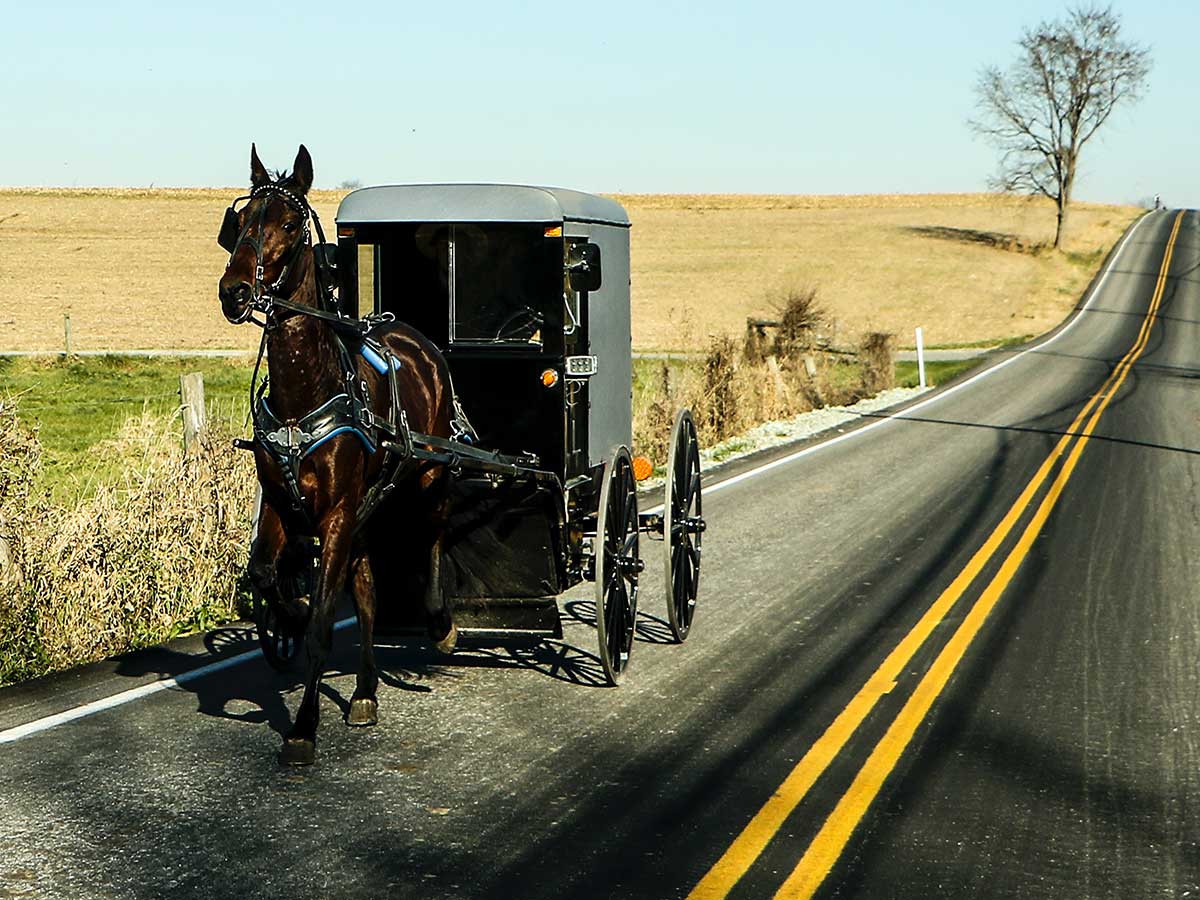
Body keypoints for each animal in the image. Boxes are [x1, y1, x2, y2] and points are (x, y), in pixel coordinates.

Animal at [217, 144, 458, 766]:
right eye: (240, 220)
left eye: (289, 224)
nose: (234, 291)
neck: (308, 390)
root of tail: (414, 337)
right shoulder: (283, 502)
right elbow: (266, 573)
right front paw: (286, 613)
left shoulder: (338, 513)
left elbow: (325, 622)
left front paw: (302, 727)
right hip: (368, 508)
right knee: (369, 589)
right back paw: (367, 690)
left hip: (428, 471)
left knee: (434, 533)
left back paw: (440, 623)